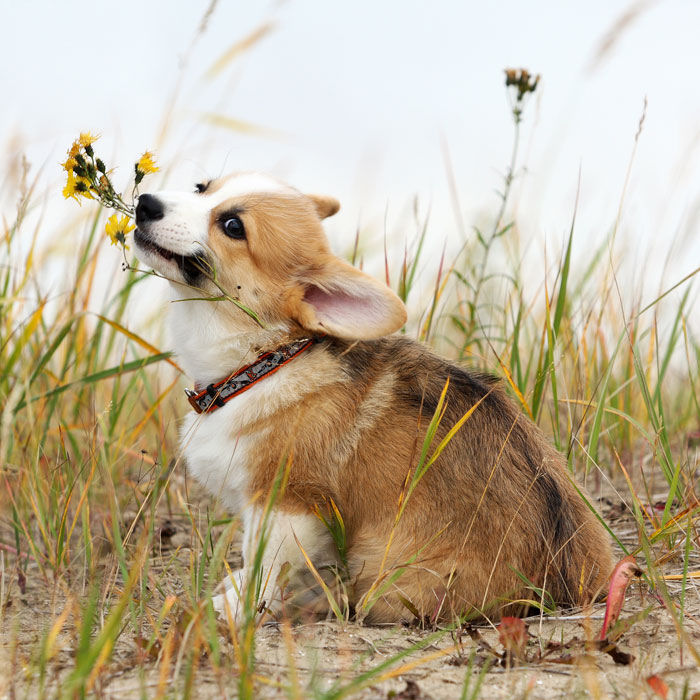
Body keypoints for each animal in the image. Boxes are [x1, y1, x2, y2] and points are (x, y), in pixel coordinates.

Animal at [133, 174, 612, 624]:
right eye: (202, 187)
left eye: (233, 226)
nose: (145, 203)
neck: (263, 363)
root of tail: (566, 590)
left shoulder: (287, 504)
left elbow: (265, 569)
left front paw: (237, 609)